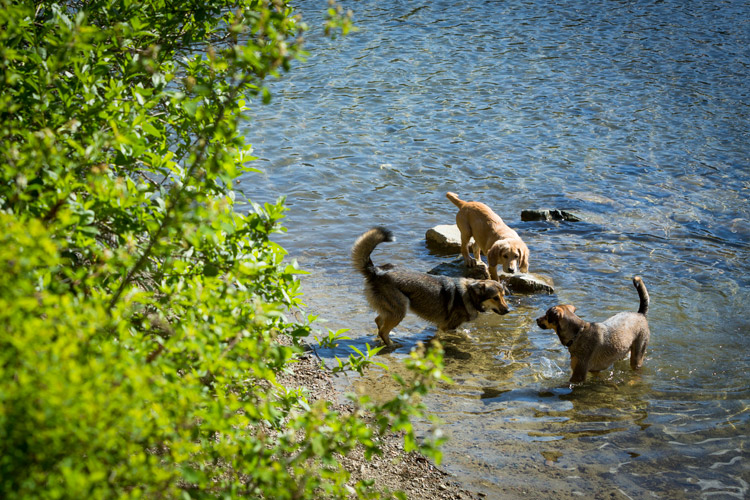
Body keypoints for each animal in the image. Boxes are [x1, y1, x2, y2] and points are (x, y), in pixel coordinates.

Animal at [352, 229, 512, 346]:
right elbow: (463, 335)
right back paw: (392, 345)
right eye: (495, 298)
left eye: (504, 296)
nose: (508, 310)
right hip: (400, 308)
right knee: (383, 330)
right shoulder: (447, 327)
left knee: (378, 321)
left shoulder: (442, 326)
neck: (470, 293)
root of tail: (376, 271)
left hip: (392, 309)